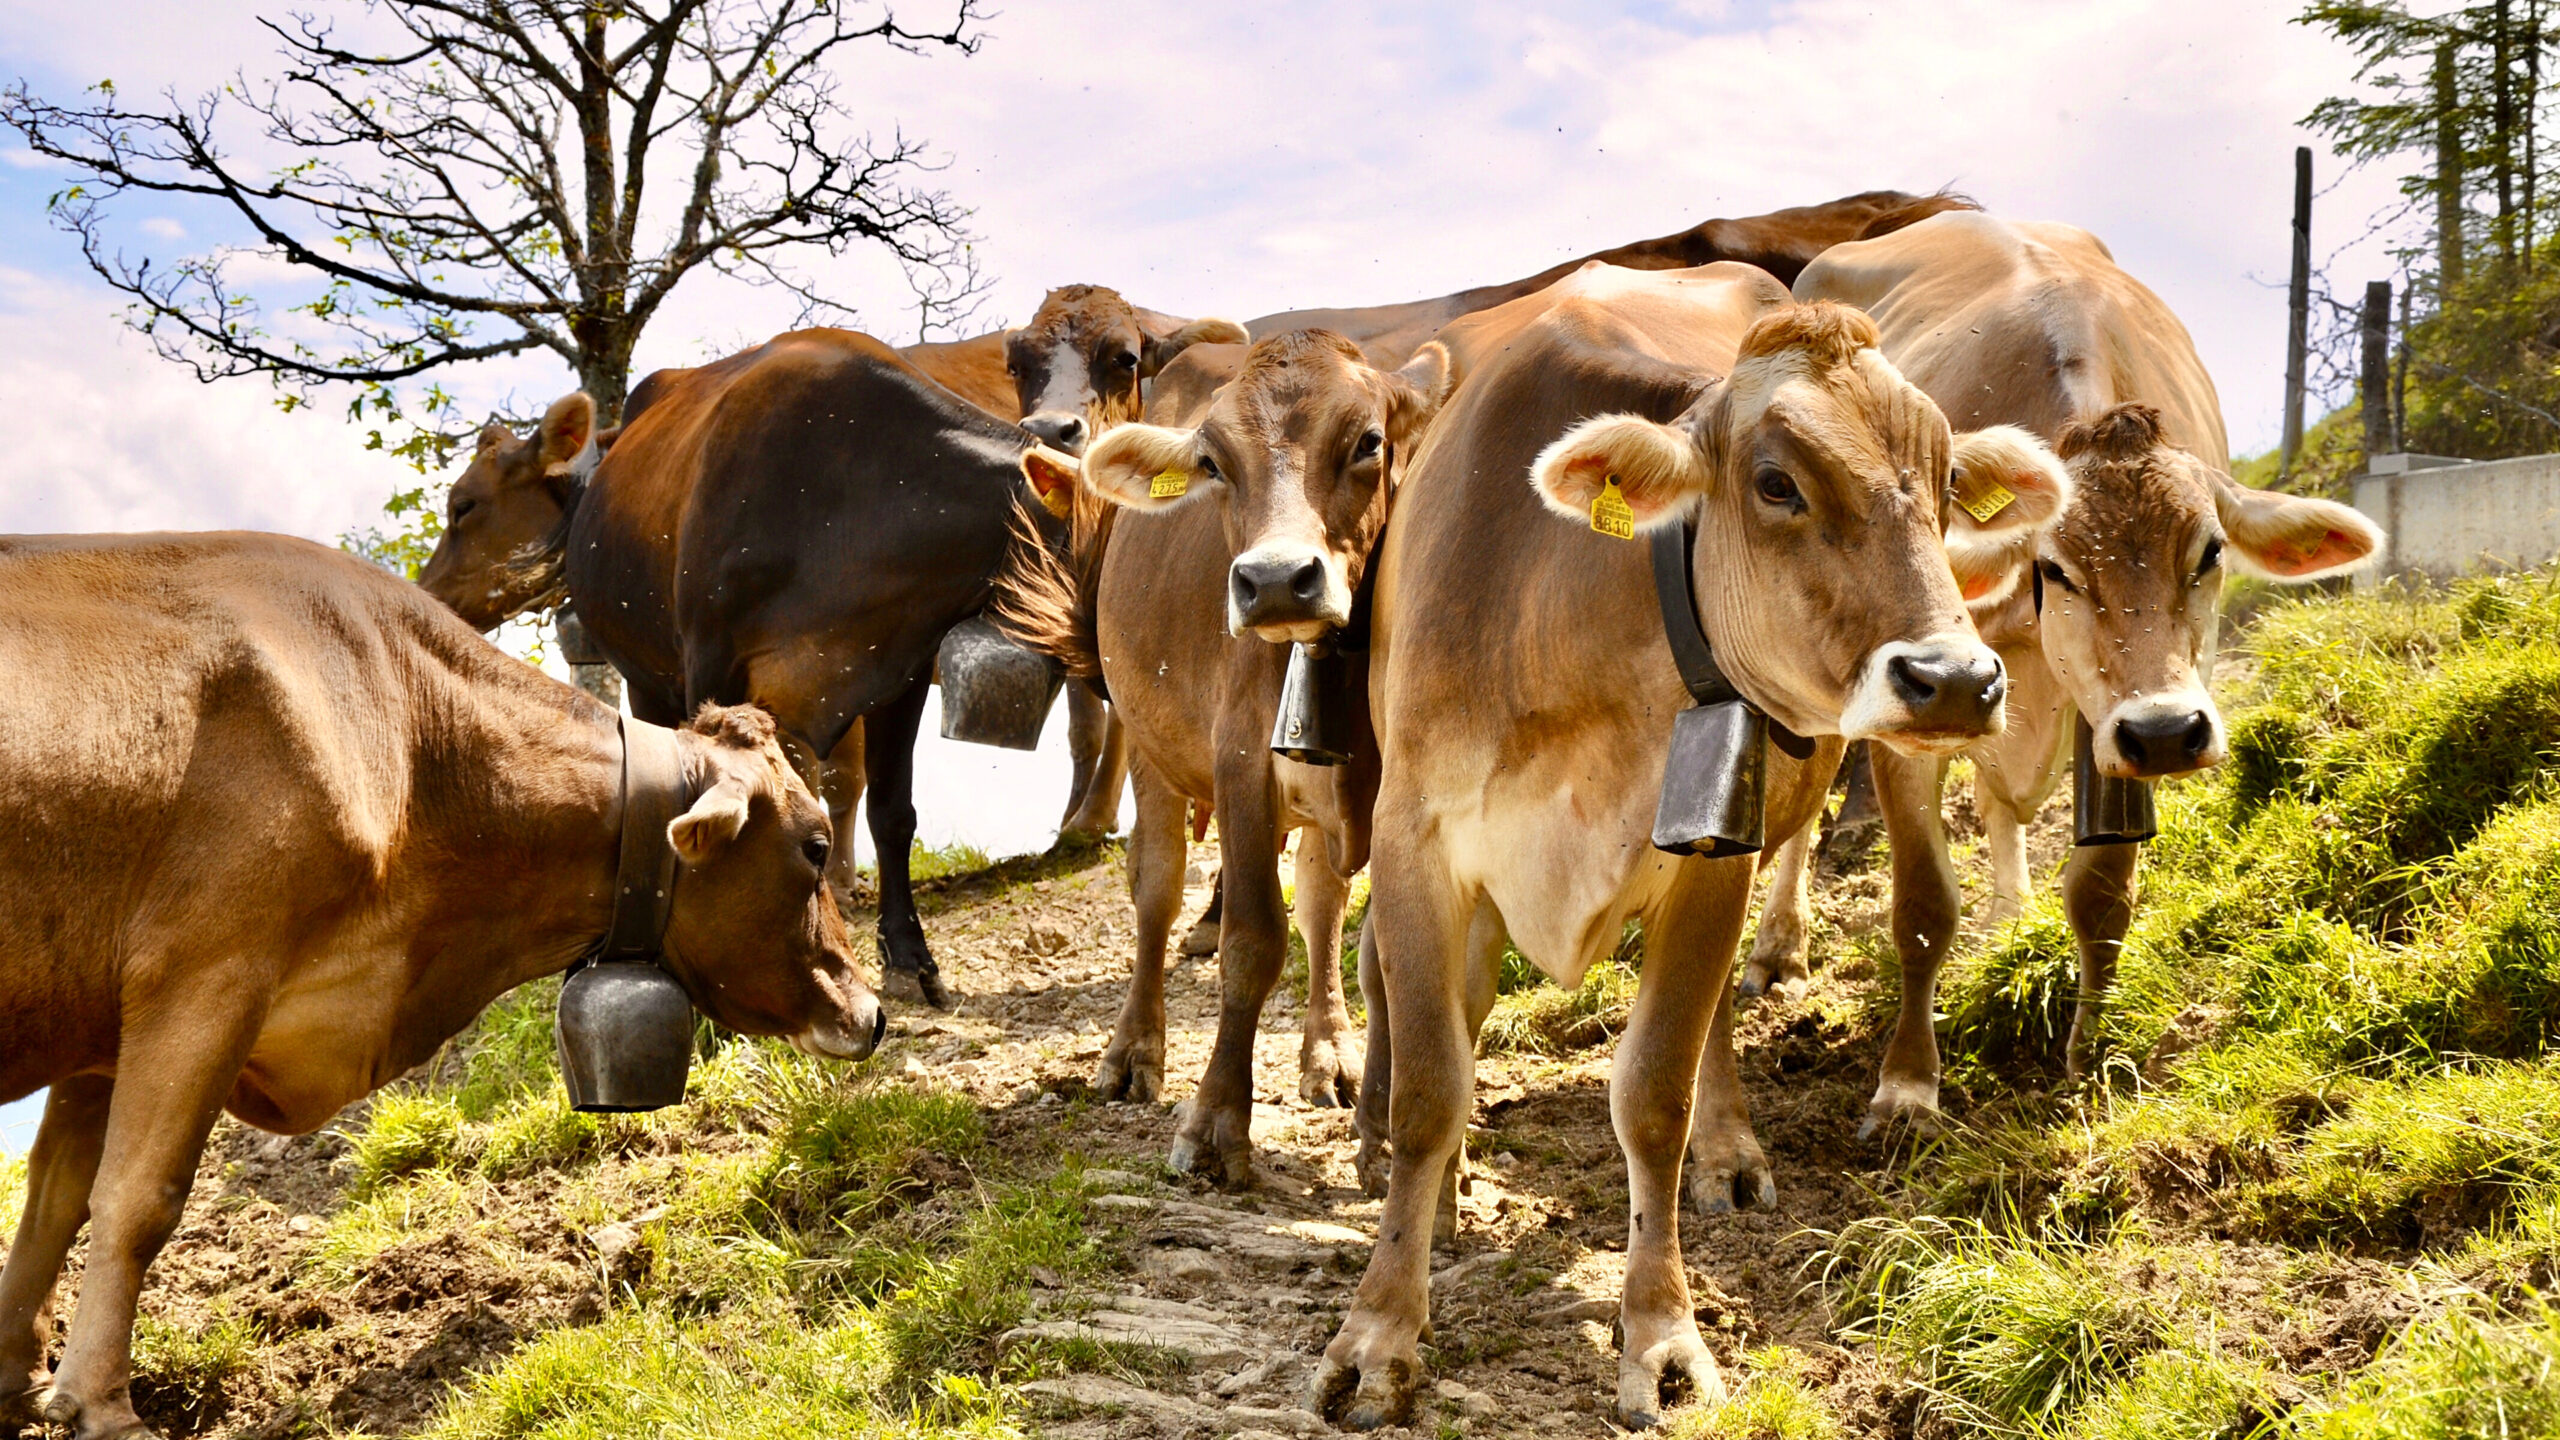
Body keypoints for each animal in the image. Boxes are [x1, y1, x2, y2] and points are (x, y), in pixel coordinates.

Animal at [0, 532, 881, 1440]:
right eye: (814, 845)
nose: (872, 1011)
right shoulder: (205, 974)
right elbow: (141, 1197)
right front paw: (102, 1405)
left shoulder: (104, 1031)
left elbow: (54, 1205)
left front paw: (18, 1379)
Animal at [996, 329, 1454, 1186]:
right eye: (1213, 462)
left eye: (1369, 442)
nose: (1275, 581)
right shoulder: (1241, 763)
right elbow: (1251, 941)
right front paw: (1214, 1125)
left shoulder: (1397, 793)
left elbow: (1381, 953)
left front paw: (1382, 1132)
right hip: (1152, 747)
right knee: (1156, 889)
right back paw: (1132, 1053)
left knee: (1319, 904)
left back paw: (1327, 1053)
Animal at [1307, 263, 2072, 1430]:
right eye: (1775, 482)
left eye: (1947, 478)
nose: (1955, 680)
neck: (1566, 611)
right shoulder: (1419, 843)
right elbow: (1433, 1086)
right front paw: (1381, 1331)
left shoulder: (1712, 855)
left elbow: (1653, 1096)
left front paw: (1662, 1339)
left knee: (1703, 1038)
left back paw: (1728, 1150)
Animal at [1716, 213, 2384, 1148]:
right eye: (2057, 568)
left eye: (2209, 552)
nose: (2169, 731)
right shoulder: (1916, 717)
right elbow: (1922, 907)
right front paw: (1907, 1087)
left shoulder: (2117, 721)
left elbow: (2101, 897)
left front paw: (2090, 1056)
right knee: (1809, 814)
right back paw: (1780, 947)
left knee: (2002, 810)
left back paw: (2010, 914)